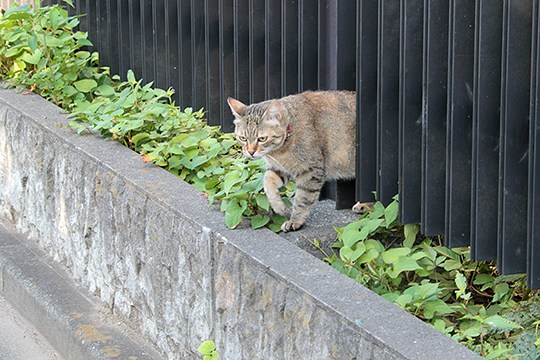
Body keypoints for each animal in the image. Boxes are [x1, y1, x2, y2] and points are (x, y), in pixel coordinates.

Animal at [227, 89, 362, 231]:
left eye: (262, 139)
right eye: (243, 138)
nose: (250, 152)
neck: (279, 151)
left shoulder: (310, 172)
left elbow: (302, 199)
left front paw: (295, 220)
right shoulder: (280, 168)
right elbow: (267, 182)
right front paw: (279, 206)